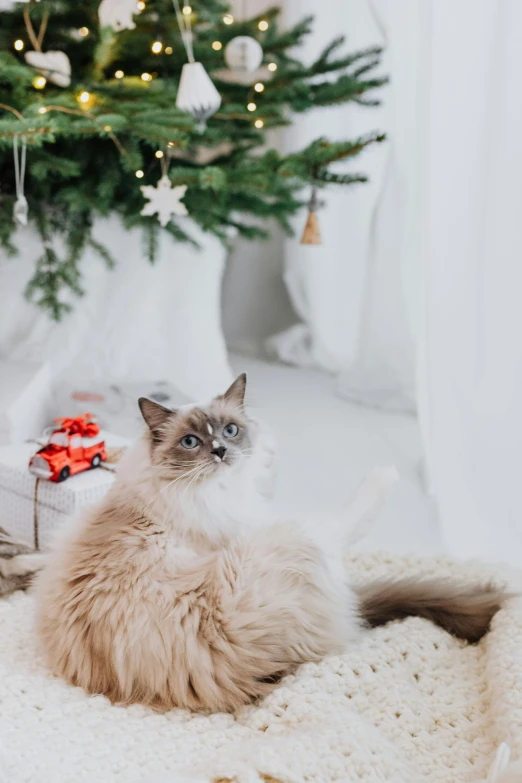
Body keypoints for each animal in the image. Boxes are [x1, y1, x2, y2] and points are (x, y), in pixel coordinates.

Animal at [35, 376, 504, 712]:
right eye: (191, 442)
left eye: (230, 430)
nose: (221, 451)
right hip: (292, 537)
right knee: (339, 532)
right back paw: (384, 476)